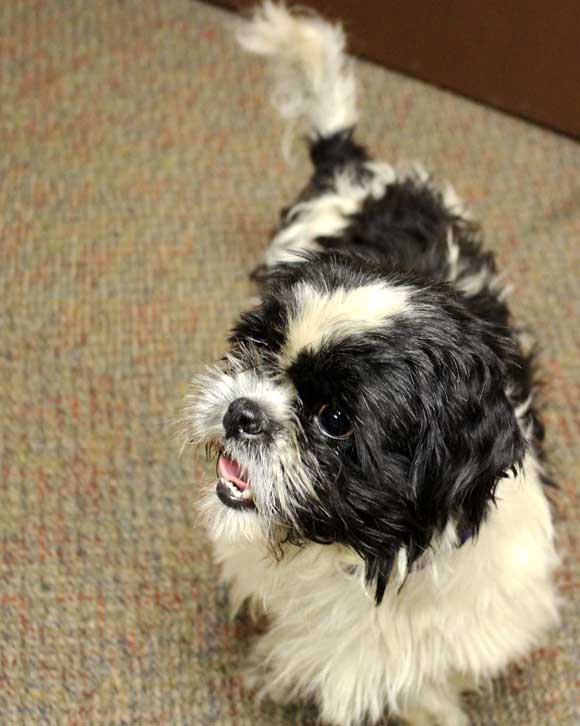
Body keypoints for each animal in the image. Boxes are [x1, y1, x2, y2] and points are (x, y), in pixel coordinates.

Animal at [185, 2, 556, 724]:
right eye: (260, 350)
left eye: (334, 419)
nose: (243, 410)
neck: (358, 557)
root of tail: (358, 172)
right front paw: (276, 671)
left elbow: (424, 678)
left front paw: (430, 708)